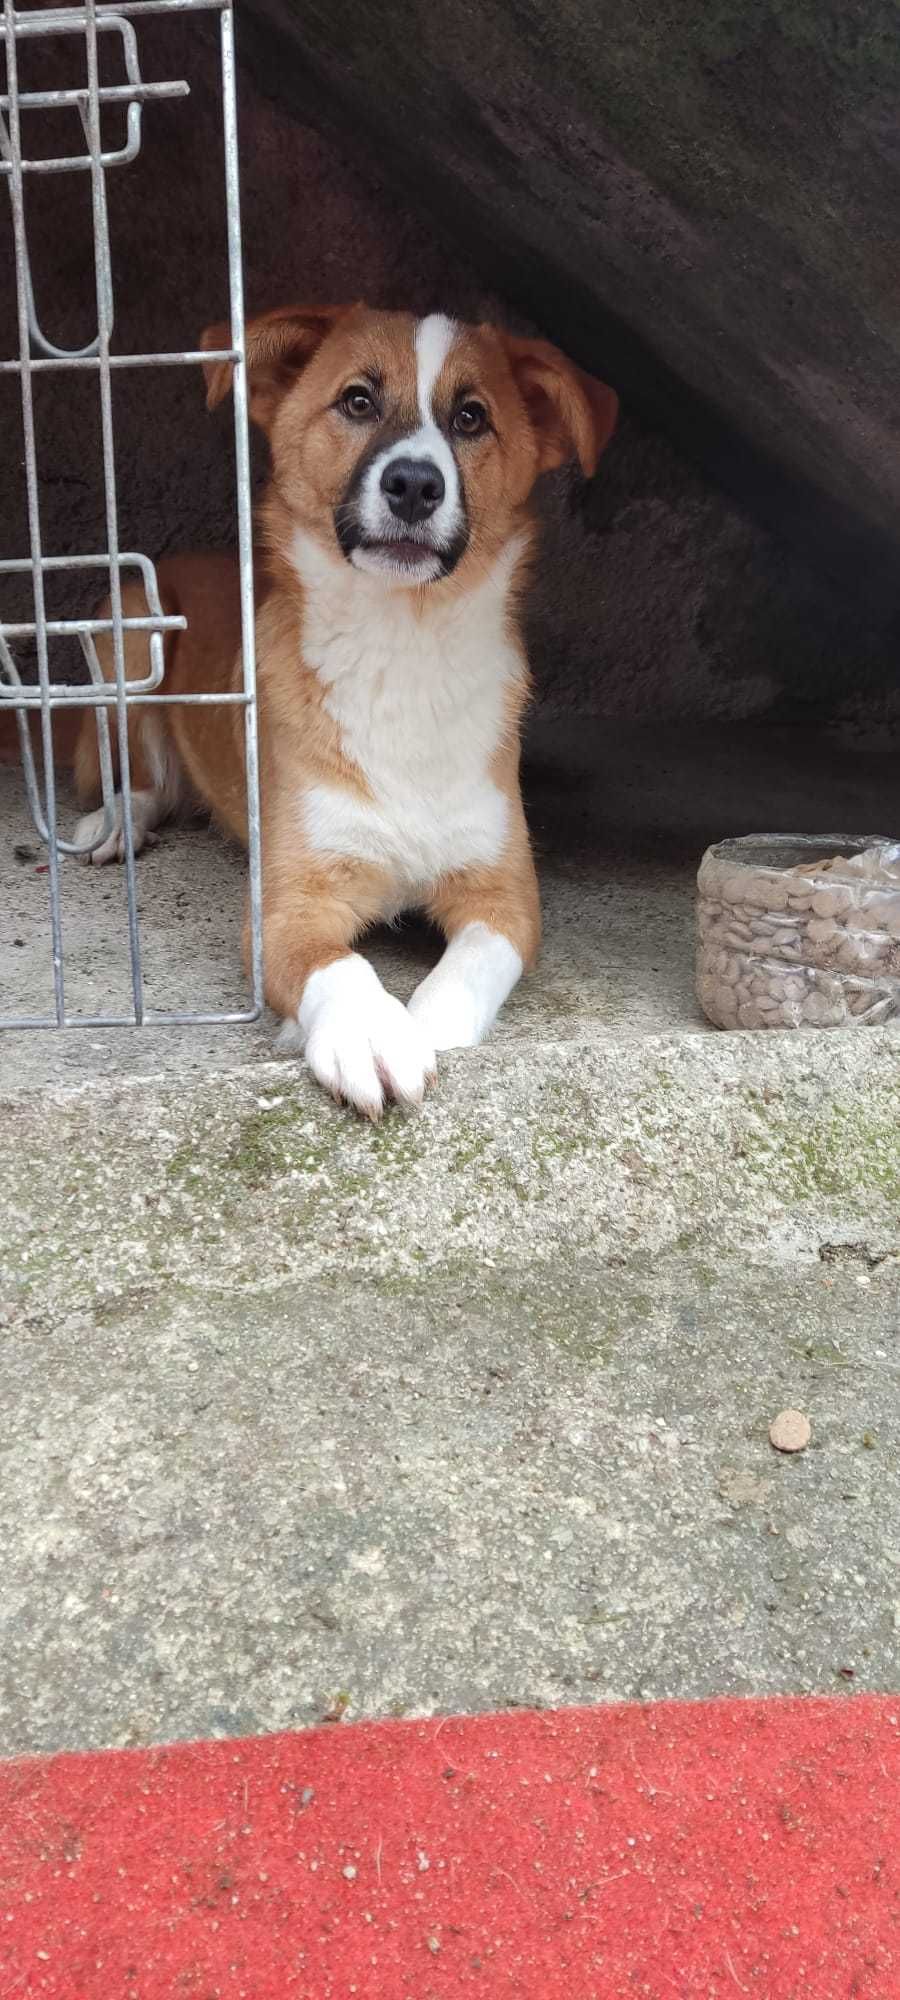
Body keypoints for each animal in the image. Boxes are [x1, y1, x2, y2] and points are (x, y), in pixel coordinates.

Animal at [75, 304, 620, 1120]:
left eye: (471, 416)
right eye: (358, 400)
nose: (415, 484)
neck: (403, 647)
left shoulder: (507, 896)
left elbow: (467, 972)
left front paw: (423, 1025)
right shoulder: (286, 905)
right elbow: (340, 966)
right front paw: (366, 1029)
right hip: (132, 622)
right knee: (141, 779)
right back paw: (116, 821)